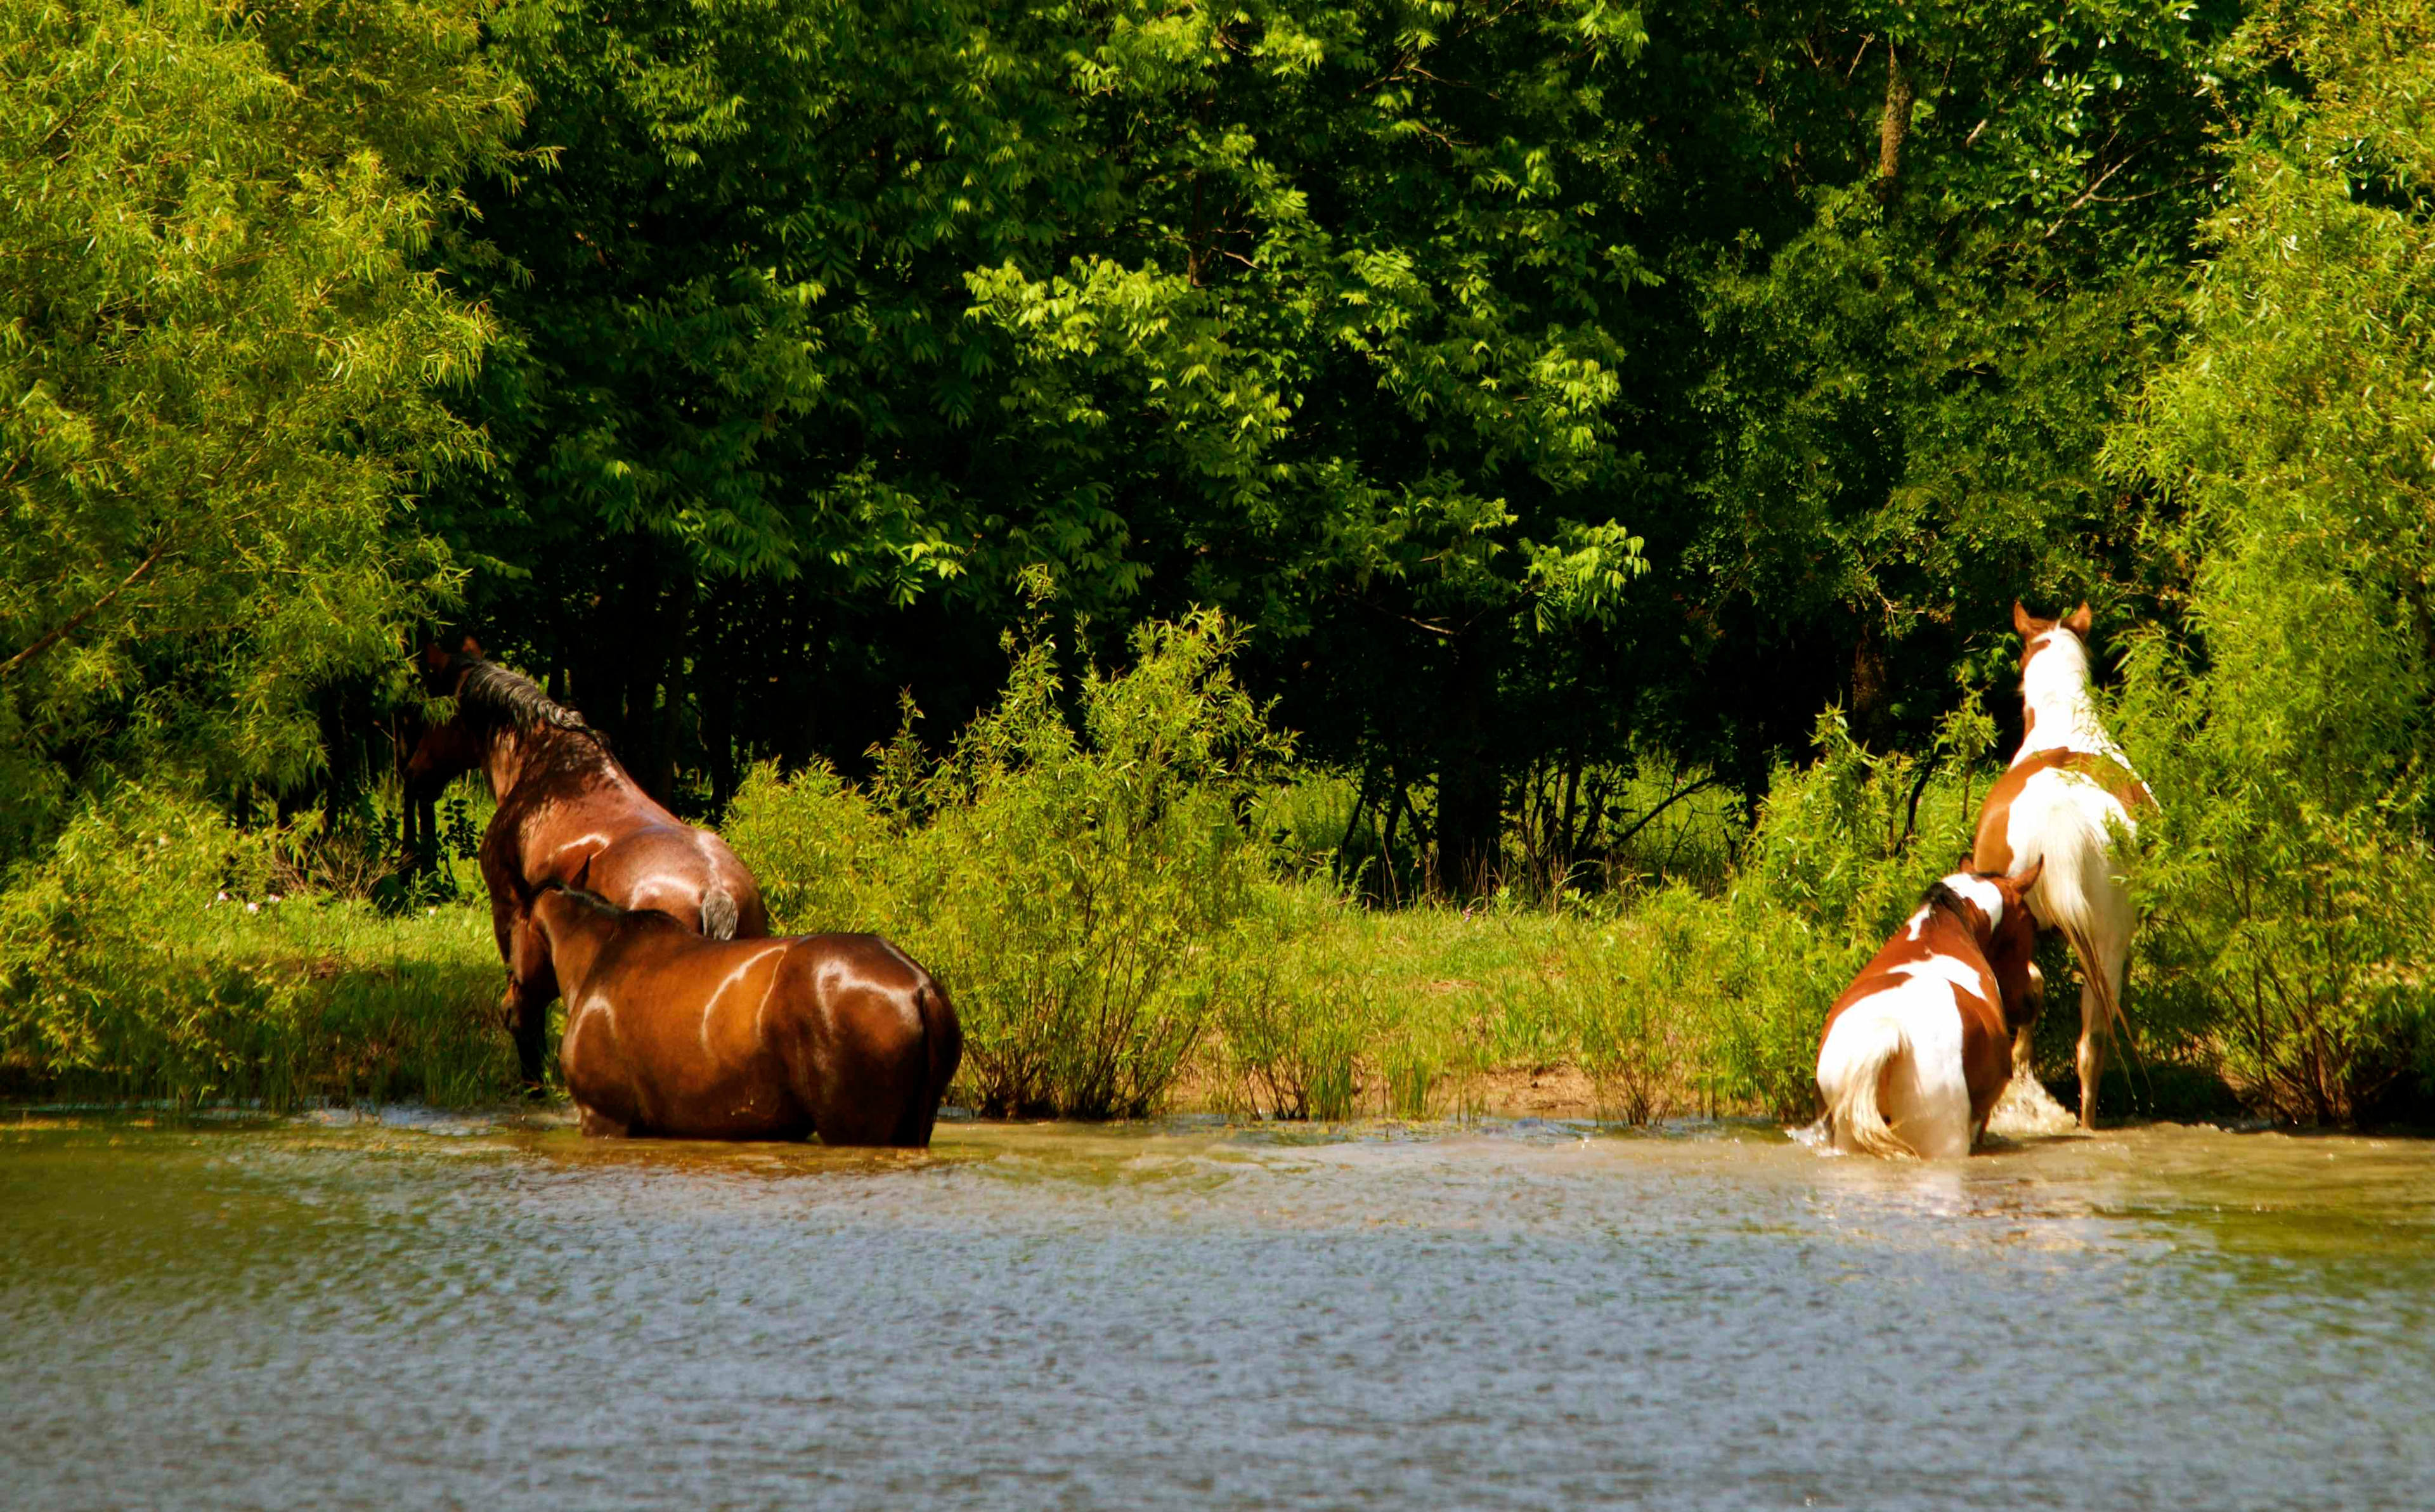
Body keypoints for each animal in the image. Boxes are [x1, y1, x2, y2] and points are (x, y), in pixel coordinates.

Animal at [1815, 863, 2043, 1159]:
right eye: (2030, 924)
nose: (2029, 1004)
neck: (1938, 931)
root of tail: (1889, 1033)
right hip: (1944, 1143)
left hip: (1849, 1140)